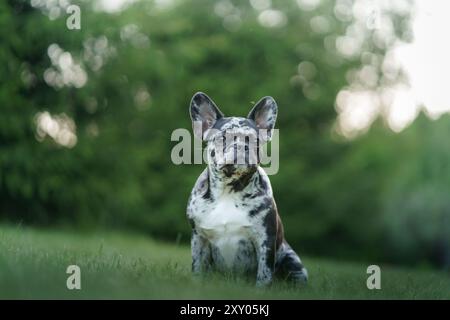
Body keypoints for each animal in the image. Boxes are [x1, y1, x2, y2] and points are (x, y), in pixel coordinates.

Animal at [185, 92, 308, 288]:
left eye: (255, 140)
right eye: (222, 137)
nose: (242, 146)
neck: (229, 190)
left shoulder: (266, 241)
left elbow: (264, 274)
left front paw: (261, 290)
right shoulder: (199, 238)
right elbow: (197, 267)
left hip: (293, 261)